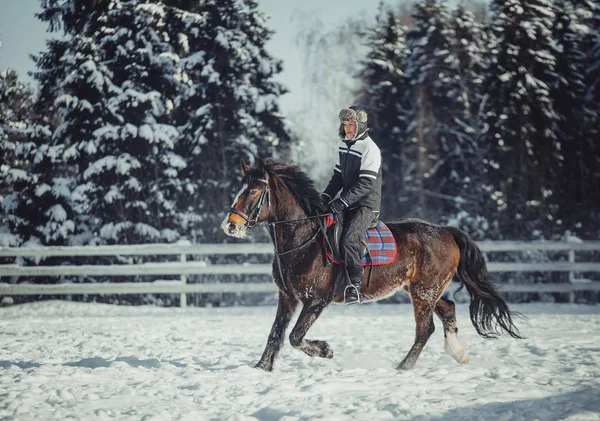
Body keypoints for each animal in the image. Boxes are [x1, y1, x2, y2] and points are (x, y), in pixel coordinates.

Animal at [223, 158, 524, 370]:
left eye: (254, 191)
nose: (230, 225)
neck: (305, 239)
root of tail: (446, 231)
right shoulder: (287, 297)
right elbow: (275, 335)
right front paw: (260, 369)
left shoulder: (316, 301)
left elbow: (295, 336)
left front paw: (326, 350)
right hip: (423, 289)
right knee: (447, 310)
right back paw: (458, 354)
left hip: (424, 292)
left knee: (425, 329)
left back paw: (403, 367)